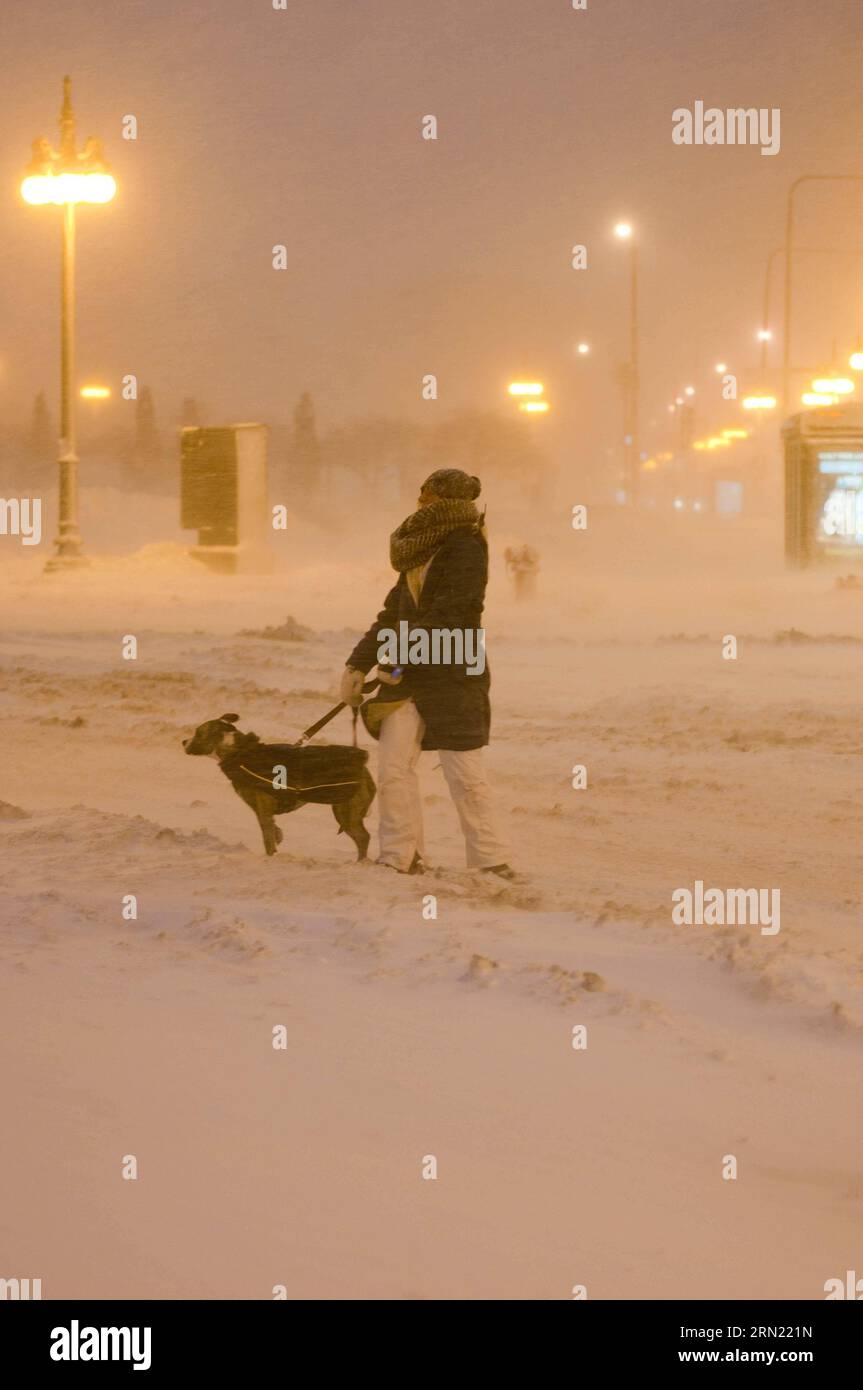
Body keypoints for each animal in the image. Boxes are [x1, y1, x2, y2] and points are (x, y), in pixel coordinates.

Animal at [183, 717, 375, 856]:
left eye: (198, 733)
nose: (183, 741)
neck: (239, 753)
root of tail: (363, 765)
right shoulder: (262, 810)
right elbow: (274, 831)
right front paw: (278, 837)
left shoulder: (263, 810)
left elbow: (267, 837)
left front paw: (271, 857)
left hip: (346, 812)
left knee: (363, 837)